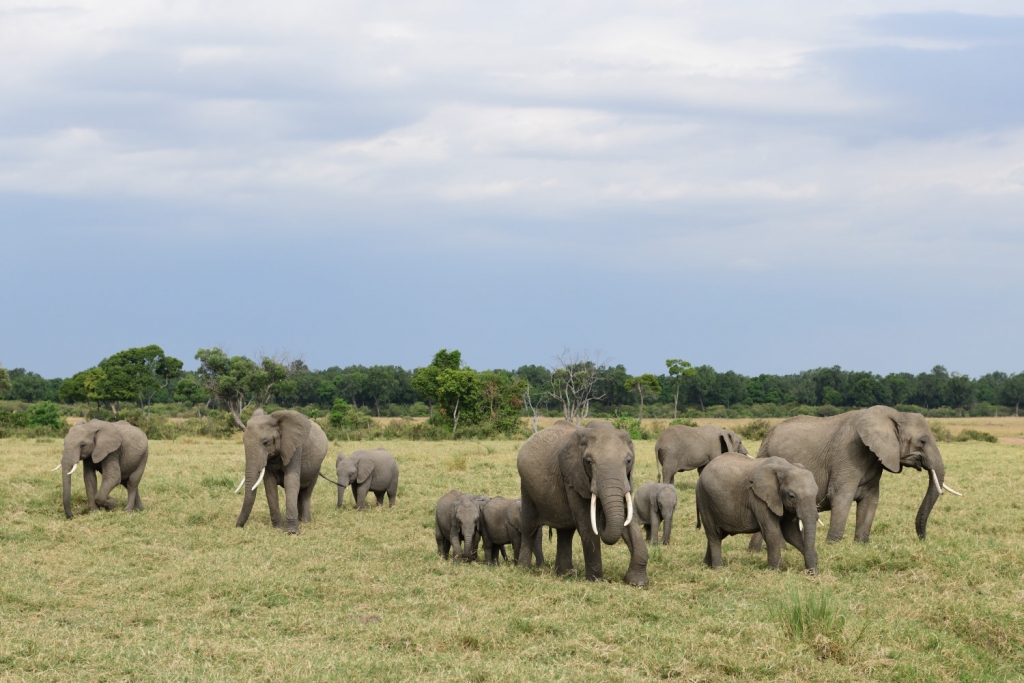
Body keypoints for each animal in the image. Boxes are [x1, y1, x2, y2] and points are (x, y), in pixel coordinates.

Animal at [512, 419, 647, 585]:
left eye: (628, 460)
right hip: (526, 486)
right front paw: (596, 581)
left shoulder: (625, 480)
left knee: (565, 531)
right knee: (530, 527)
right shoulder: (573, 477)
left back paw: (566, 574)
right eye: (588, 462)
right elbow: (587, 526)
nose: (602, 518)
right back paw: (524, 569)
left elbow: (629, 519)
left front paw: (638, 582)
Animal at [749, 405, 954, 548]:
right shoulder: (848, 454)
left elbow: (871, 500)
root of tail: (767, 435)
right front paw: (832, 546)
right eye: (923, 441)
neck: (895, 415)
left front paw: (861, 546)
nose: (923, 540)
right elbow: (841, 497)